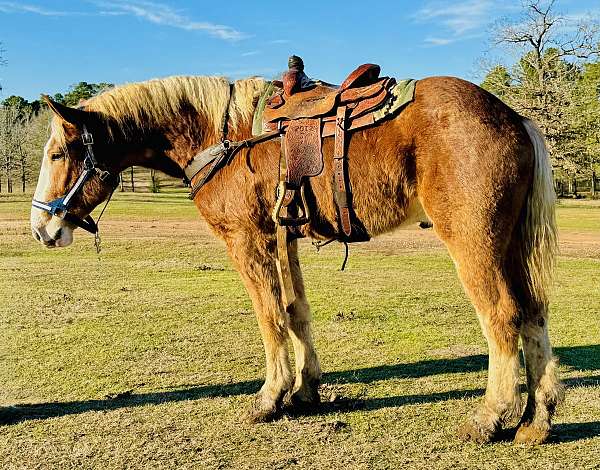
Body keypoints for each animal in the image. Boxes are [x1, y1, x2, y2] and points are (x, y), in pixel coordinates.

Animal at [29, 70, 564, 444]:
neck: (221, 137)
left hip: (473, 240)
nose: (41, 229)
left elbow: (269, 316)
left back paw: (490, 417)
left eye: (57, 154)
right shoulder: (283, 236)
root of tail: (513, 118)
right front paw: (305, 388)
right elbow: (295, 311)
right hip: (509, 243)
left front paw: (270, 397)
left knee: (502, 316)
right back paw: (537, 419)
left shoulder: (248, 239)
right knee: (534, 312)